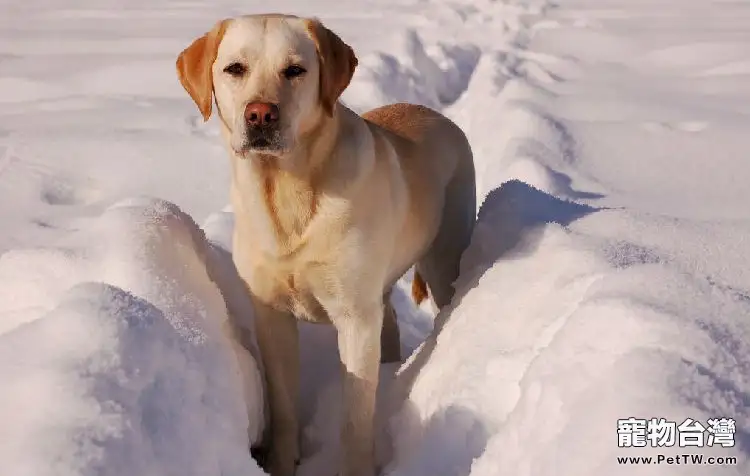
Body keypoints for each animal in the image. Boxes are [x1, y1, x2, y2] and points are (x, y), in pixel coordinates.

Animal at [176, 13, 476, 476]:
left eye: (295, 70)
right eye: (235, 69)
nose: (260, 115)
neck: (285, 192)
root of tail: (439, 117)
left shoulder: (354, 318)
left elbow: (356, 417)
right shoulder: (272, 315)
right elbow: (283, 404)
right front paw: (282, 463)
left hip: (443, 262)